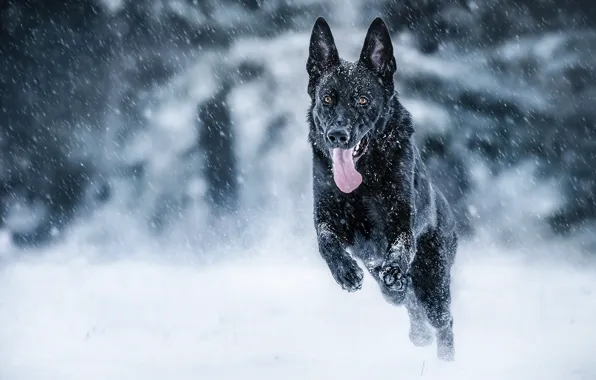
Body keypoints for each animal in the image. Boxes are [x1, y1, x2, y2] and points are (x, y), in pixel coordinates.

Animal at [304, 16, 458, 360]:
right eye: (327, 98)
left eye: (362, 99)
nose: (337, 135)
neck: (364, 179)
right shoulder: (326, 216)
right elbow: (326, 242)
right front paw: (345, 272)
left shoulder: (401, 217)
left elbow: (400, 243)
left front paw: (394, 268)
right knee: (405, 300)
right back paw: (417, 333)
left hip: (434, 280)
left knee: (442, 320)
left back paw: (447, 362)